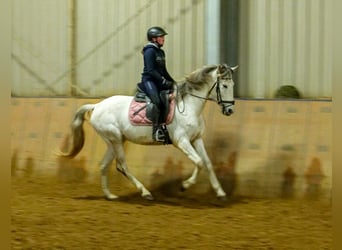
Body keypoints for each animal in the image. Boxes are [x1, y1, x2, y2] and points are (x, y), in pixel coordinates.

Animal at [59, 64, 238, 201]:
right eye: (225, 86)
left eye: (233, 85)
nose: (229, 111)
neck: (189, 106)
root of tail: (97, 106)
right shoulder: (182, 141)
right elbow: (199, 162)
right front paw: (184, 186)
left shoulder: (196, 139)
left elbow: (207, 163)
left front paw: (221, 193)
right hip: (115, 139)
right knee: (122, 165)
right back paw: (145, 192)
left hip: (115, 141)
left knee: (104, 166)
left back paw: (110, 196)